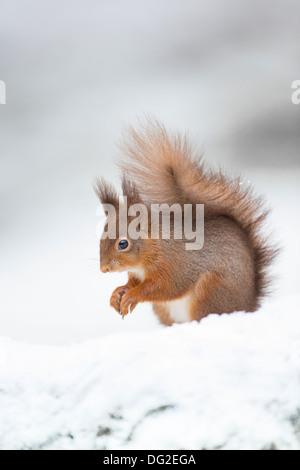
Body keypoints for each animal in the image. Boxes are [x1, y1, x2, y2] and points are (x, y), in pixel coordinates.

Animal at [95, 119, 276, 324]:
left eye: (123, 244)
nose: (103, 269)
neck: (157, 244)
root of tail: (249, 306)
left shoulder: (177, 266)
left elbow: (164, 288)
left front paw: (132, 296)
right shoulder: (137, 274)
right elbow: (132, 283)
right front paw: (117, 293)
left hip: (210, 294)